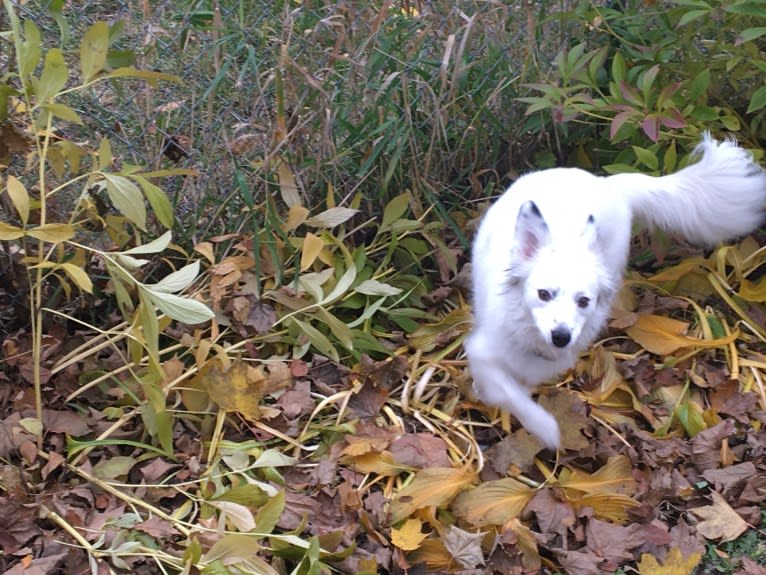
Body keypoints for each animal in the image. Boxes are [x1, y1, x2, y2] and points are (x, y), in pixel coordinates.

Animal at [464, 135, 766, 450]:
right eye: (543, 294)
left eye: (584, 301)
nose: (561, 337)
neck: (530, 334)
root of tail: (608, 182)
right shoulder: (482, 351)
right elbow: (507, 392)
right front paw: (543, 426)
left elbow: (515, 391)